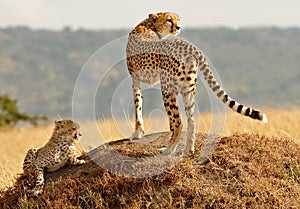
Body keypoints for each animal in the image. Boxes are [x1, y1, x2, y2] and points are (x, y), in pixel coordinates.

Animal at [126, 11, 268, 155]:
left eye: (177, 19)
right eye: (169, 20)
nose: (178, 27)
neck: (148, 25)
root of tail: (189, 46)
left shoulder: (135, 81)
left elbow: (138, 105)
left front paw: (137, 133)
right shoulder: (136, 80)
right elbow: (140, 105)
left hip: (167, 89)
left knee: (178, 122)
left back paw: (169, 149)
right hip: (187, 90)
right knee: (191, 121)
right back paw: (188, 149)